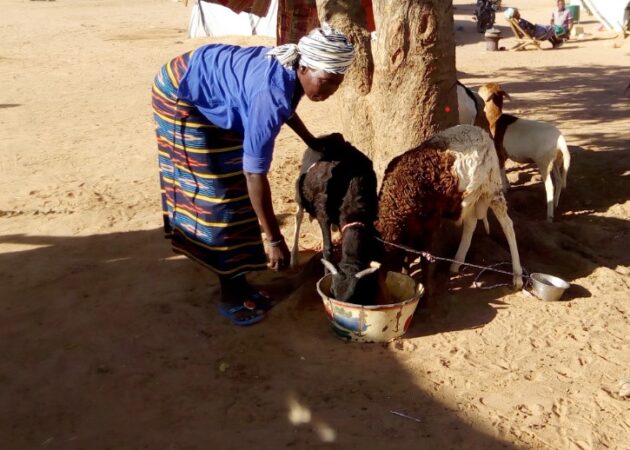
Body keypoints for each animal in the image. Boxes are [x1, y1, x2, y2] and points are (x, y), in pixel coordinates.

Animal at [290, 132, 380, 304]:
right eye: (331, 291)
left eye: (355, 295)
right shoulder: (322, 214)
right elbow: (327, 248)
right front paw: (324, 275)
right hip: (299, 190)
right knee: (298, 215)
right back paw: (294, 257)